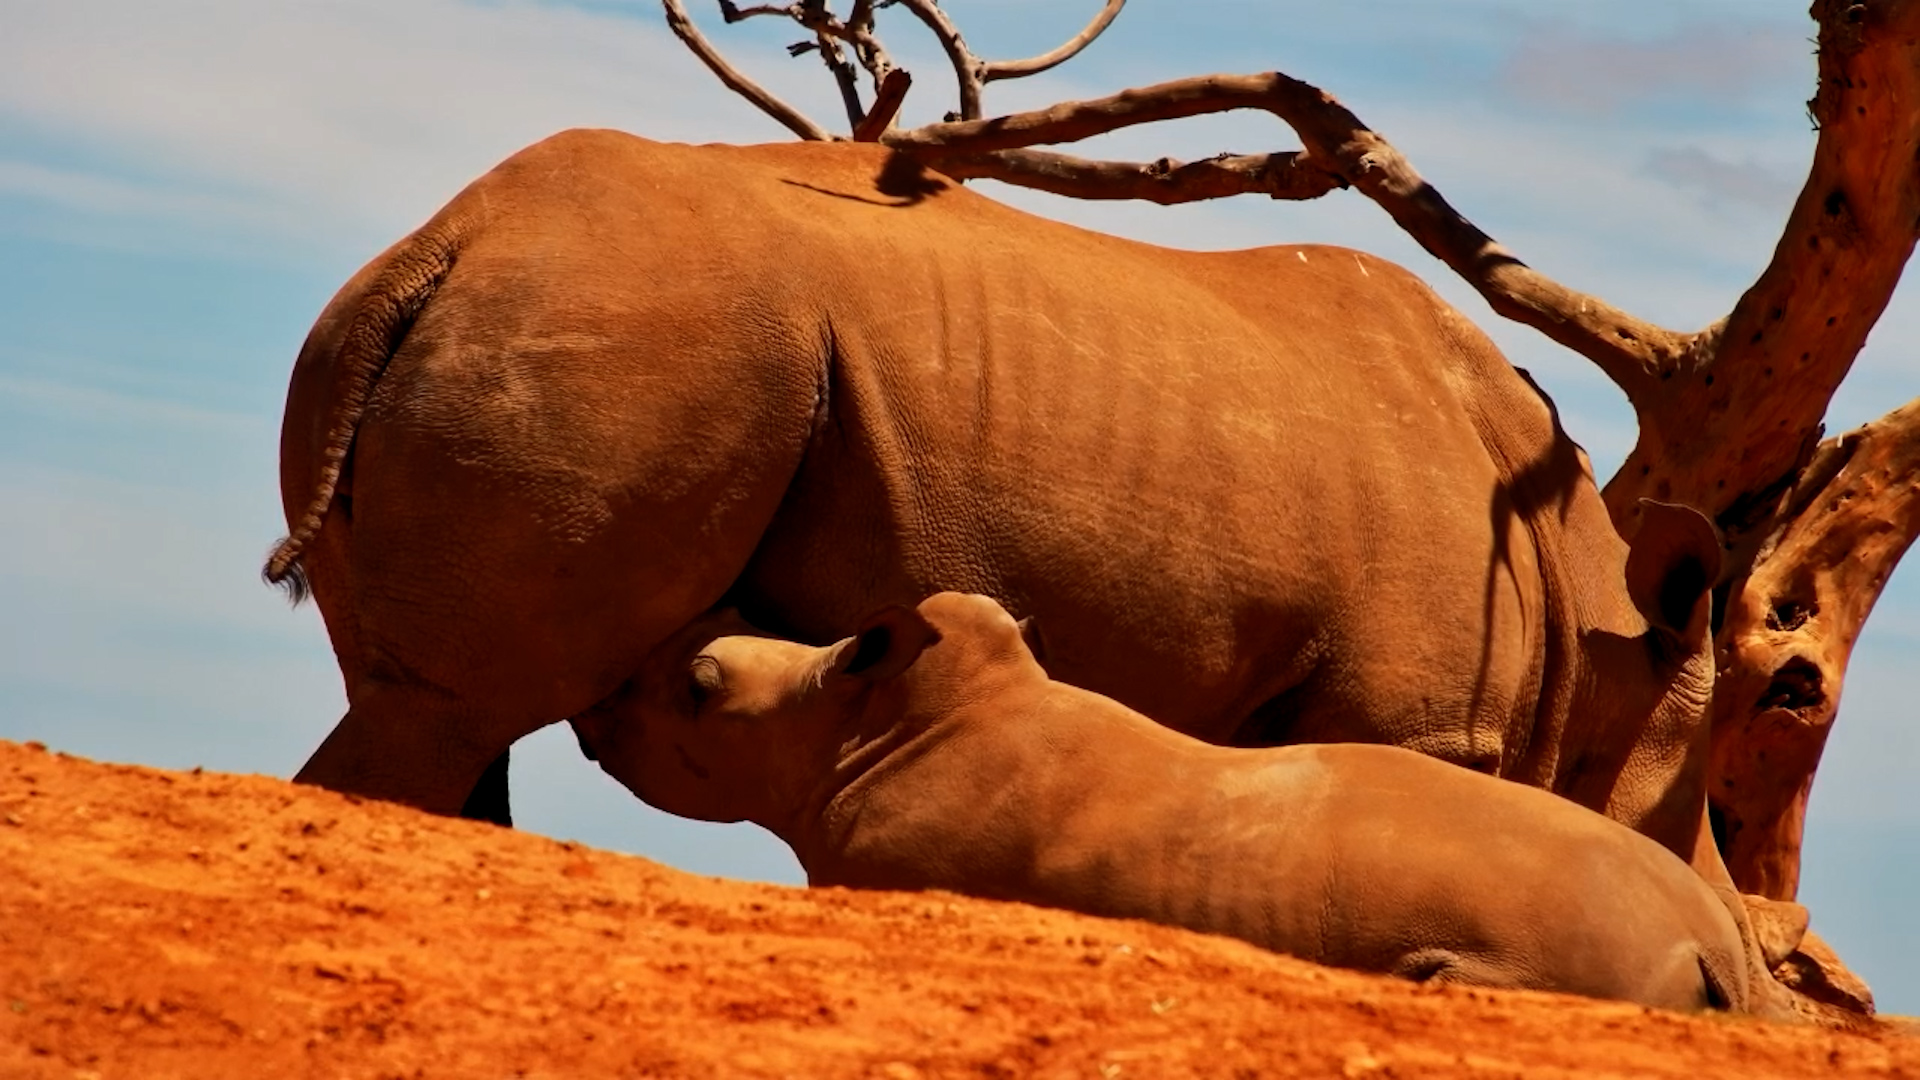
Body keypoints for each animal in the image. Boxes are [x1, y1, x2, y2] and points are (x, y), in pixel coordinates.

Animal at [271, 130, 1721, 870]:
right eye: (1671, 811)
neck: (1594, 608)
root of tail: (444, 246)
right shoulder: (1420, 722)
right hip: (633, 330)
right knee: (454, 711)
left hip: (463, 329)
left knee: (436, 706)